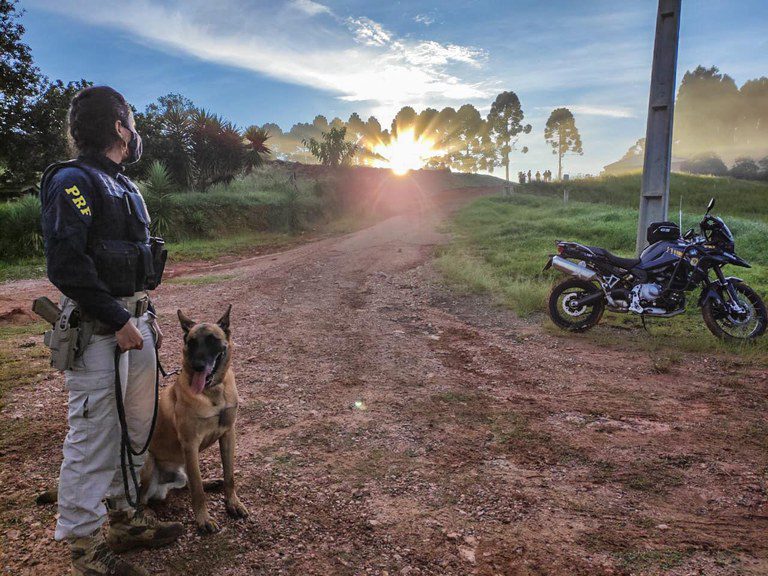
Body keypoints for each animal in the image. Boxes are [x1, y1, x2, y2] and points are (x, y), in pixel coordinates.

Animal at [137, 304, 246, 532]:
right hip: (149, 461)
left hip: (183, 464)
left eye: (213, 340)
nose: (197, 365)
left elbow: (229, 476)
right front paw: (203, 520)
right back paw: (147, 514)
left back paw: (212, 482)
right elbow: (197, 491)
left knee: (187, 482)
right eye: (191, 342)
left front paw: (233, 503)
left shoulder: (228, 434)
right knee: (141, 499)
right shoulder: (190, 444)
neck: (212, 392)